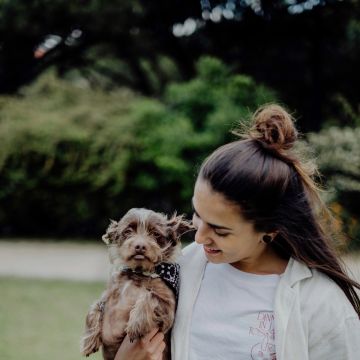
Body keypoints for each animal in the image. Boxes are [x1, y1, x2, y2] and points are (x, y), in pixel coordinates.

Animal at [79, 208, 191, 360]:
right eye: (127, 231)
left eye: (156, 234)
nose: (140, 246)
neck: (138, 273)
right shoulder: (107, 296)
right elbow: (94, 308)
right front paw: (88, 341)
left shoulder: (168, 310)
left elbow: (150, 296)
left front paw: (136, 324)